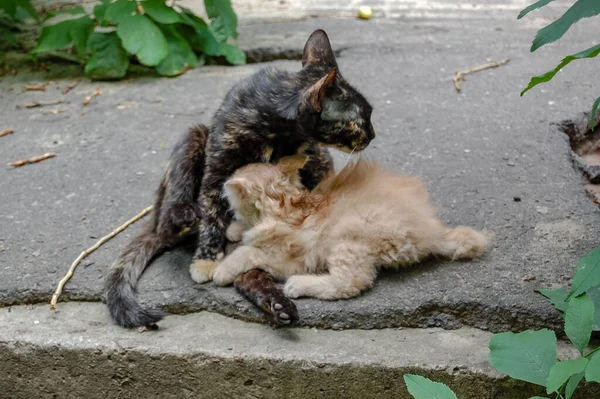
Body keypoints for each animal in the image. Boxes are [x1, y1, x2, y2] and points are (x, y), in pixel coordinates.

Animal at [103, 28, 376, 328]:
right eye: (361, 120)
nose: (372, 135)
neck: (278, 131)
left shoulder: (304, 159)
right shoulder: (217, 172)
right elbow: (212, 217)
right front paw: (205, 259)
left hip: (319, 159)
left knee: (250, 274)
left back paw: (278, 305)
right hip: (194, 137)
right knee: (172, 217)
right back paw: (184, 215)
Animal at [192, 156, 492, 300]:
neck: (282, 206)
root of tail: (434, 232)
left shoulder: (284, 259)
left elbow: (246, 252)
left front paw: (222, 269)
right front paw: (235, 230)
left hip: (349, 240)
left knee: (351, 283)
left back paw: (299, 285)